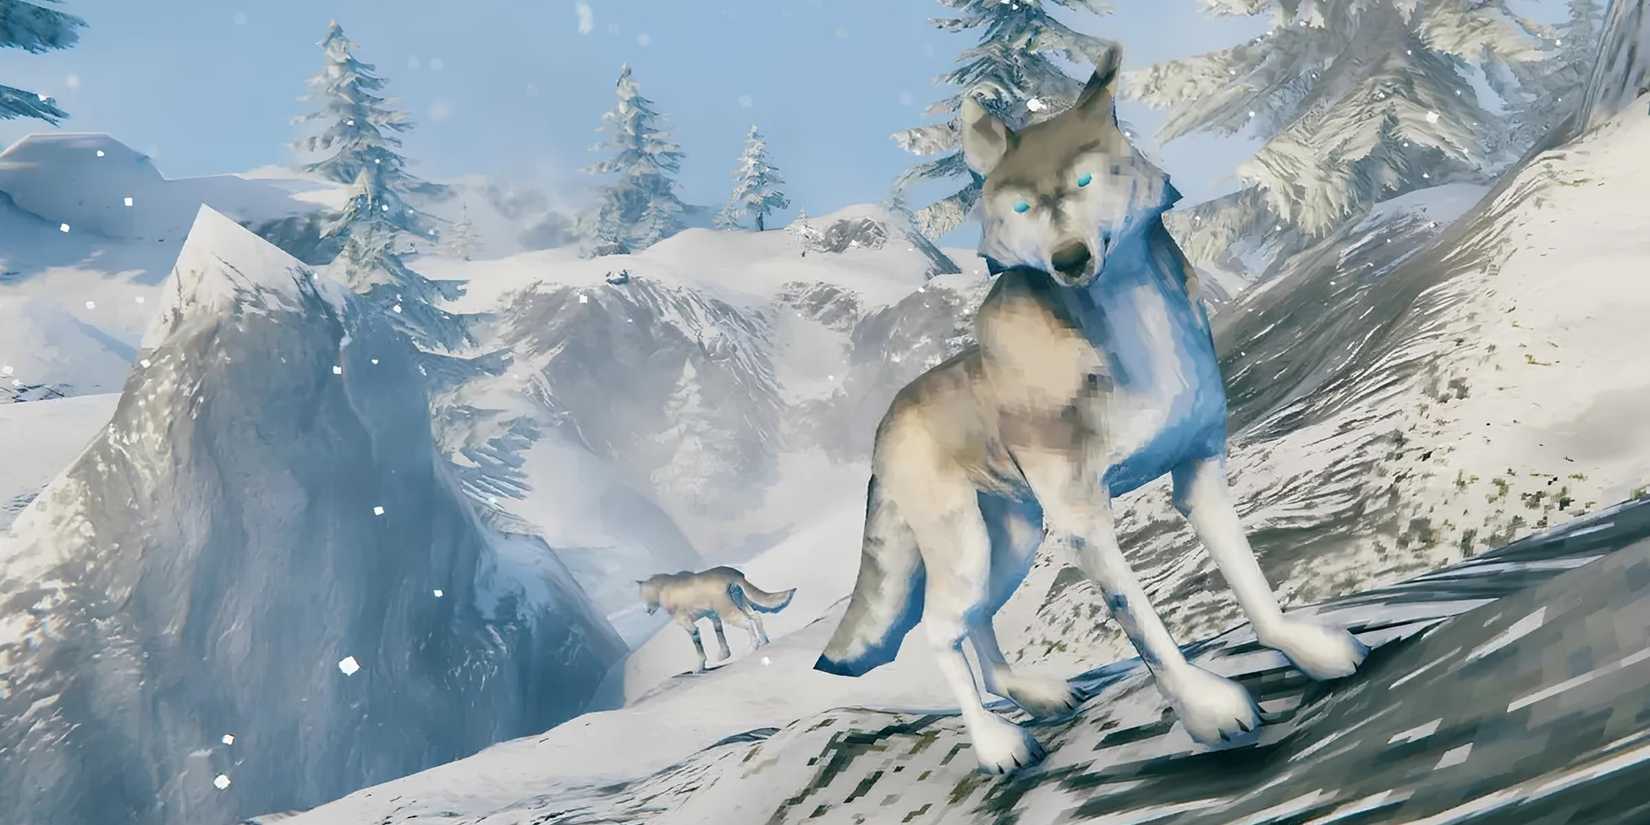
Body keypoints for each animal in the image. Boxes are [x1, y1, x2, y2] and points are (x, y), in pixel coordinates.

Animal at [638, 566, 796, 671]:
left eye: (643, 596)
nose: (645, 611)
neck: (662, 588)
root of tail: (733, 573)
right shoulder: (713, 615)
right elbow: (719, 632)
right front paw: (724, 654)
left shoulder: (688, 624)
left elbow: (698, 646)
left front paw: (700, 667)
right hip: (739, 602)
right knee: (755, 617)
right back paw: (764, 642)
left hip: (728, 611)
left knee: (748, 622)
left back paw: (752, 647)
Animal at [814, 48, 1368, 773]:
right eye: (1022, 205)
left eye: (1083, 179)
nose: (1069, 258)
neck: (1139, 336)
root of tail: (888, 416)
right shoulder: (1084, 520)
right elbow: (1145, 629)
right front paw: (1207, 710)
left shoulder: (1200, 472)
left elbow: (1251, 580)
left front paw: (1308, 649)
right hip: (969, 544)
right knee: (938, 630)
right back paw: (997, 744)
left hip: (1012, 540)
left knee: (975, 622)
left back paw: (1034, 694)